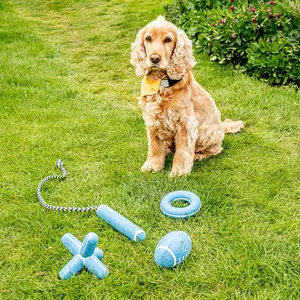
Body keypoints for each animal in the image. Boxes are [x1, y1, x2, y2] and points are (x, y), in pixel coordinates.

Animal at [130, 15, 243, 176]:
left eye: (168, 39)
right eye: (148, 38)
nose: (154, 58)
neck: (161, 84)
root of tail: (222, 126)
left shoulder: (186, 123)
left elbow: (182, 150)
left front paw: (178, 173)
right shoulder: (151, 119)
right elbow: (154, 146)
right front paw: (152, 166)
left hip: (210, 133)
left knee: (215, 149)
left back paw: (198, 155)